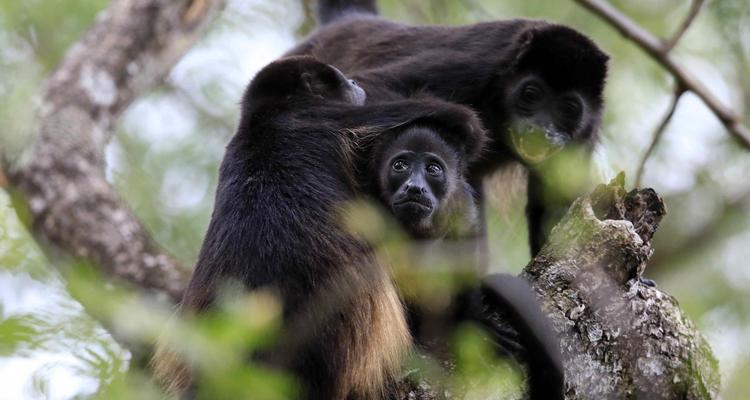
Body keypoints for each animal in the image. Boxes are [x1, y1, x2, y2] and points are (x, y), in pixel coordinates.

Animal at [290, 0, 612, 256]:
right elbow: (374, 88)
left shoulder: (586, 131)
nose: (541, 131)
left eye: (569, 110)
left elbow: (555, 208)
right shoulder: (475, 67)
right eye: (531, 94)